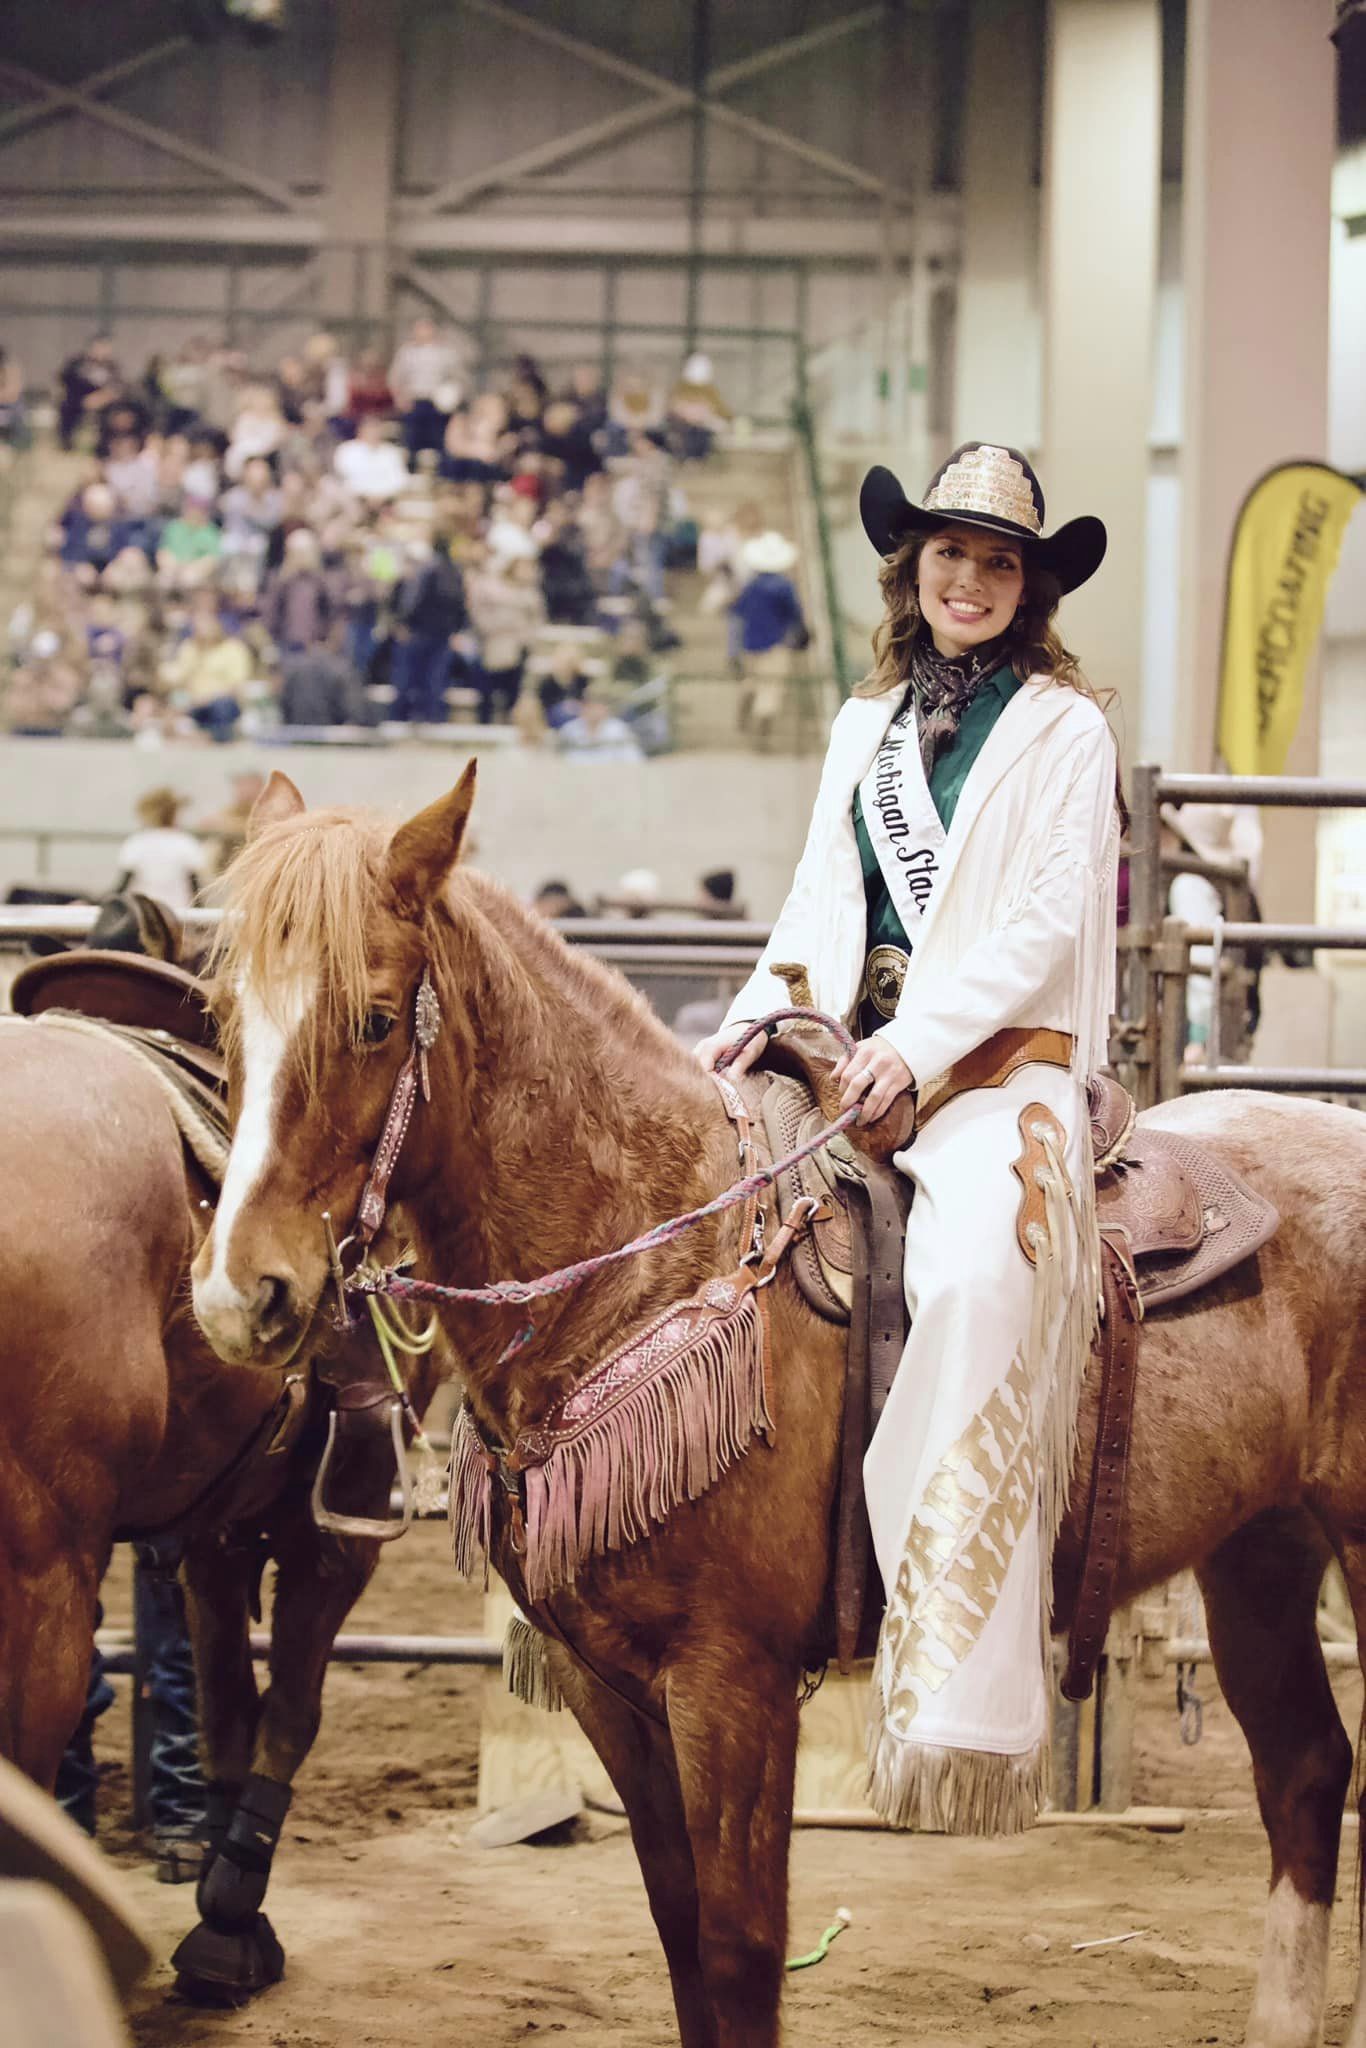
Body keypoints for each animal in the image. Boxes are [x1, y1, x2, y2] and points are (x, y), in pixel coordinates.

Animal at [197, 770, 1366, 2048]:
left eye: (370, 1018)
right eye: (222, 1014)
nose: (238, 1293)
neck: (657, 1257)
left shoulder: (732, 1681)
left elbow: (741, 1946)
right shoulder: (609, 1684)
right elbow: (678, 1930)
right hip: (1260, 1547)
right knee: (1304, 1770)